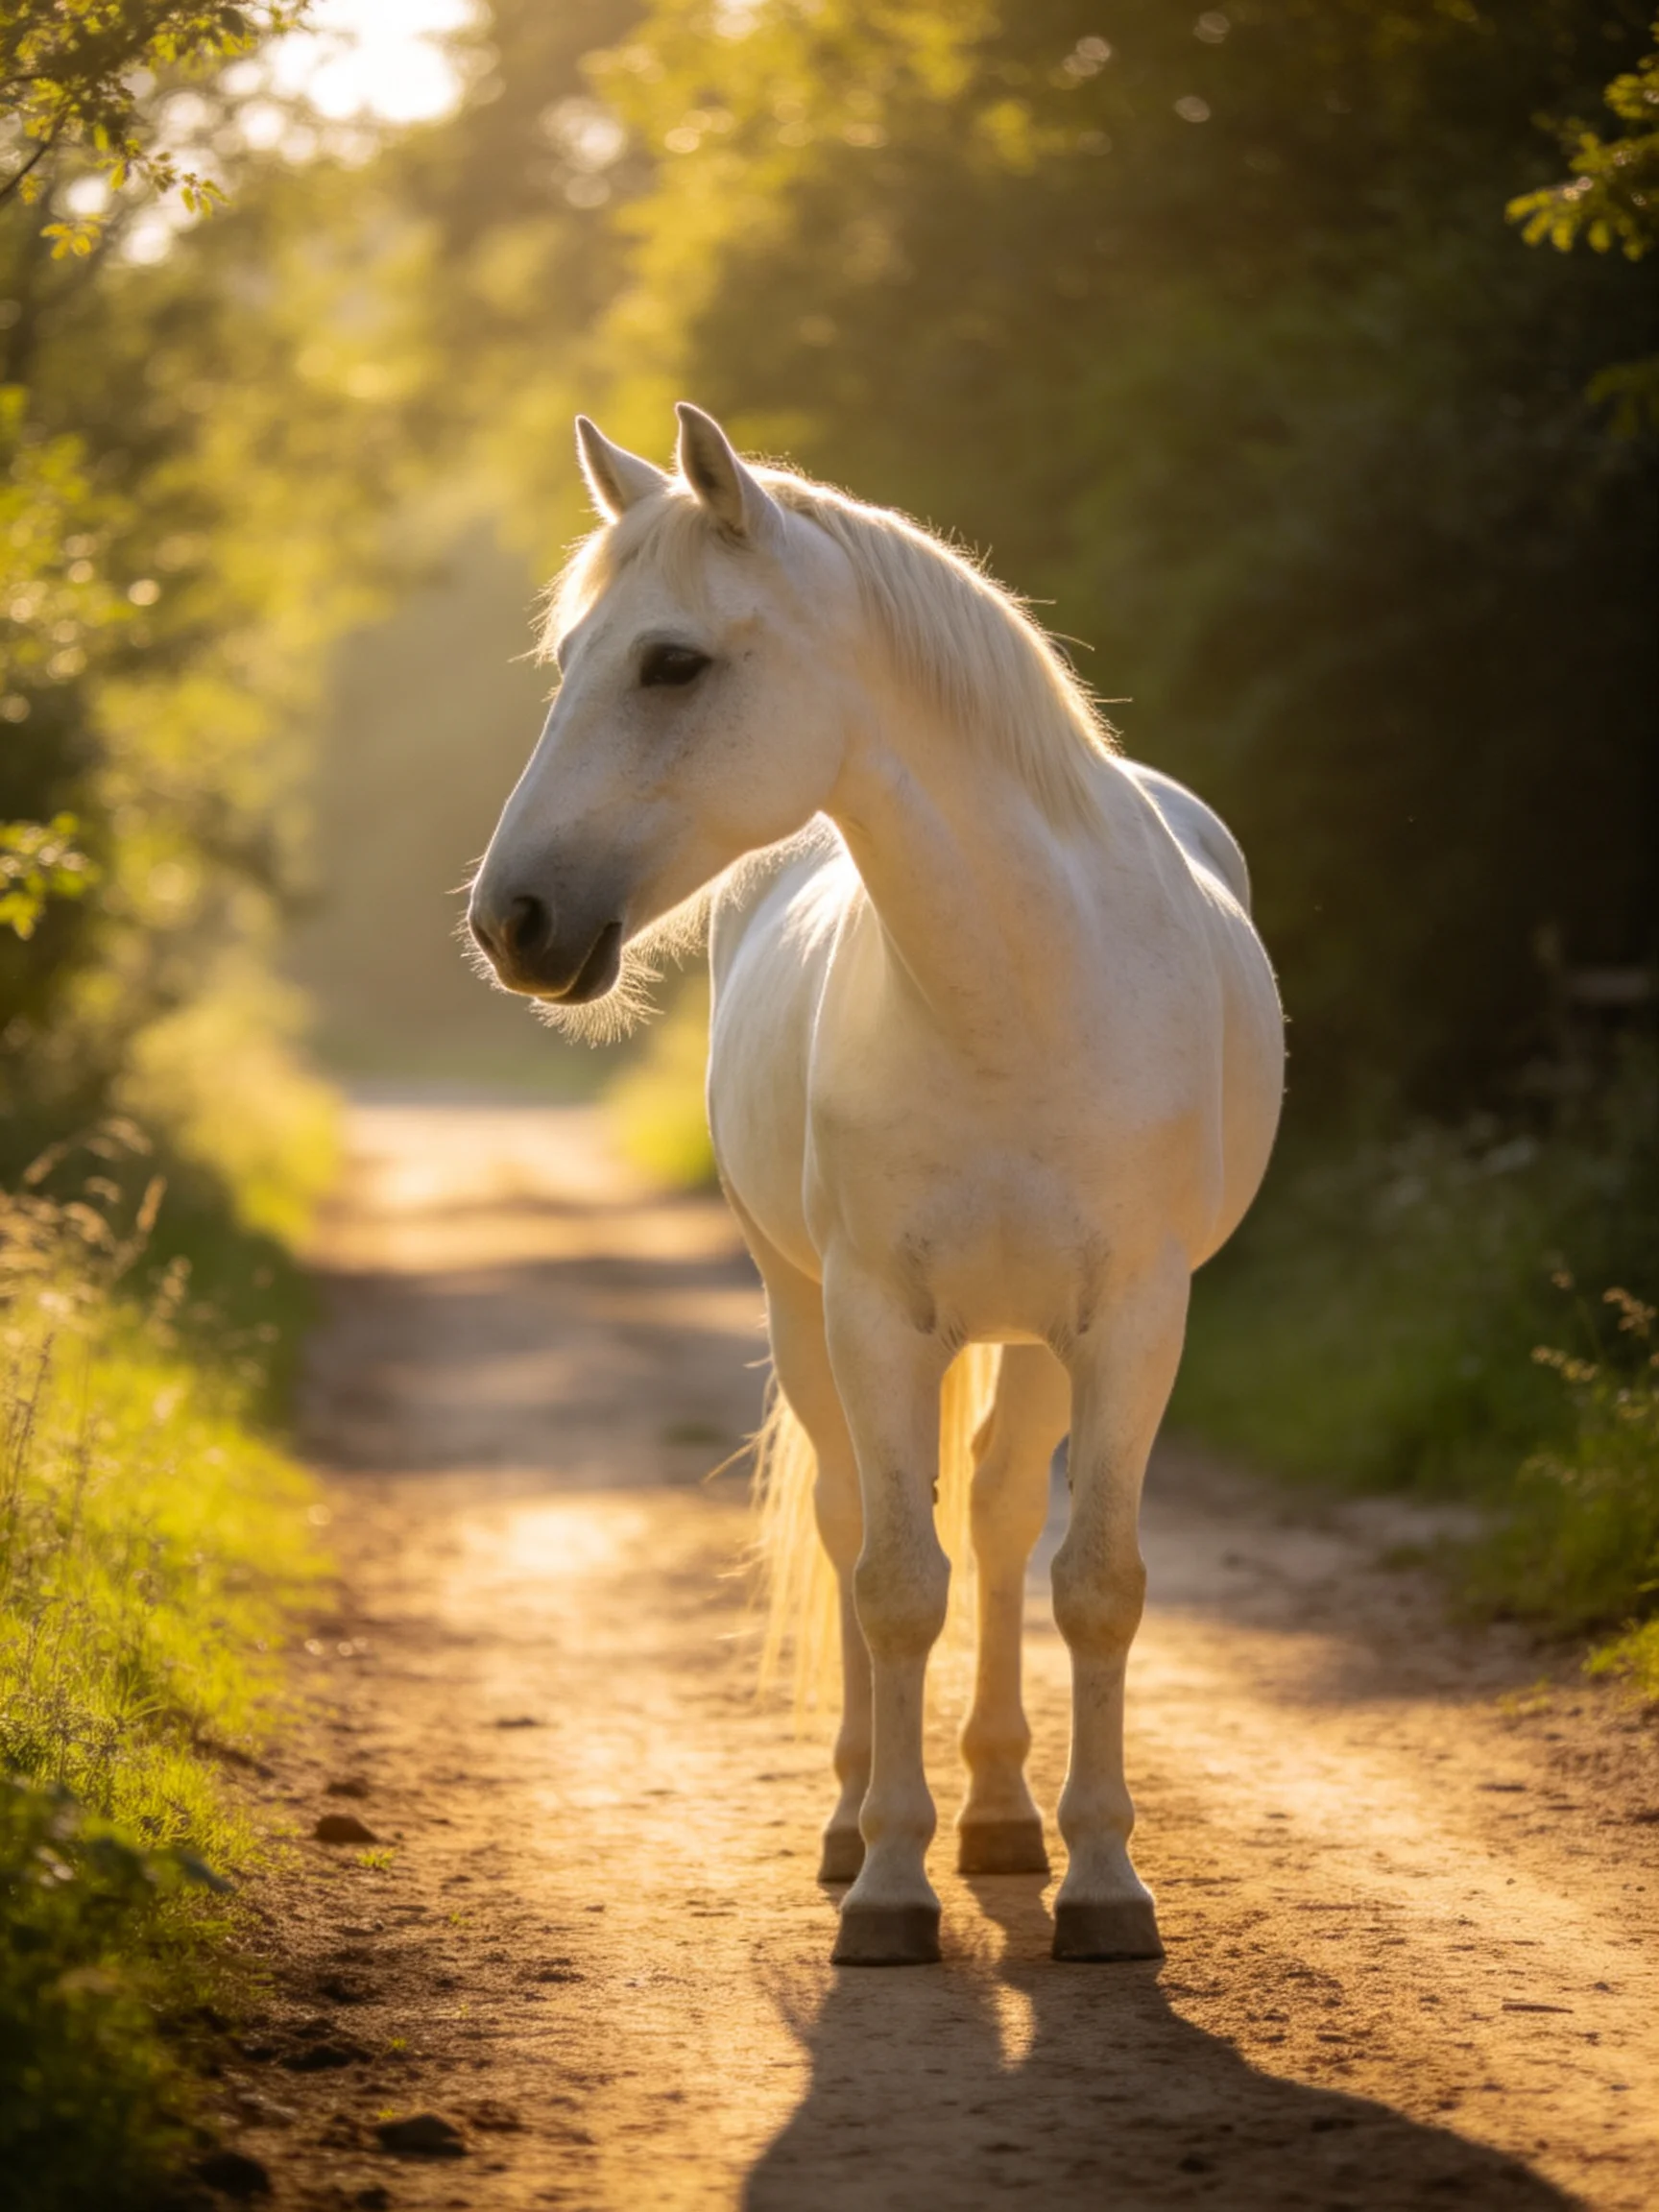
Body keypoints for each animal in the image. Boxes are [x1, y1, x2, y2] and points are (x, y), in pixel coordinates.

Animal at [467, 404, 1285, 1967]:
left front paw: (1104, 1886)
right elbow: (897, 1585)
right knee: (857, 1522)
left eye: (671, 662)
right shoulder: (875, 1317)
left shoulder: (1135, 1319)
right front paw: (894, 1889)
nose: (510, 921)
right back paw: (860, 1825)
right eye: (568, 659)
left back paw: (1007, 1821)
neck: (1022, 988)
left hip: (1033, 1337)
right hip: (806, 1314)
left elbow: (1096, 1585)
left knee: (1006, 1514)